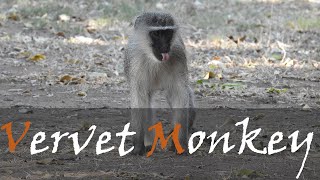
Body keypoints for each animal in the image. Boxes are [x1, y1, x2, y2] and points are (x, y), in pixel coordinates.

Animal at [124, 11, 195, 155]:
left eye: (168, 33)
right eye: (156, 33)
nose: (165, 47)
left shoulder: (178, 55)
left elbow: (179, 94)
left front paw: (180, 143)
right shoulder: (135, 61)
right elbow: (140, 99)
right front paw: (138, 145)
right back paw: (148, 144)